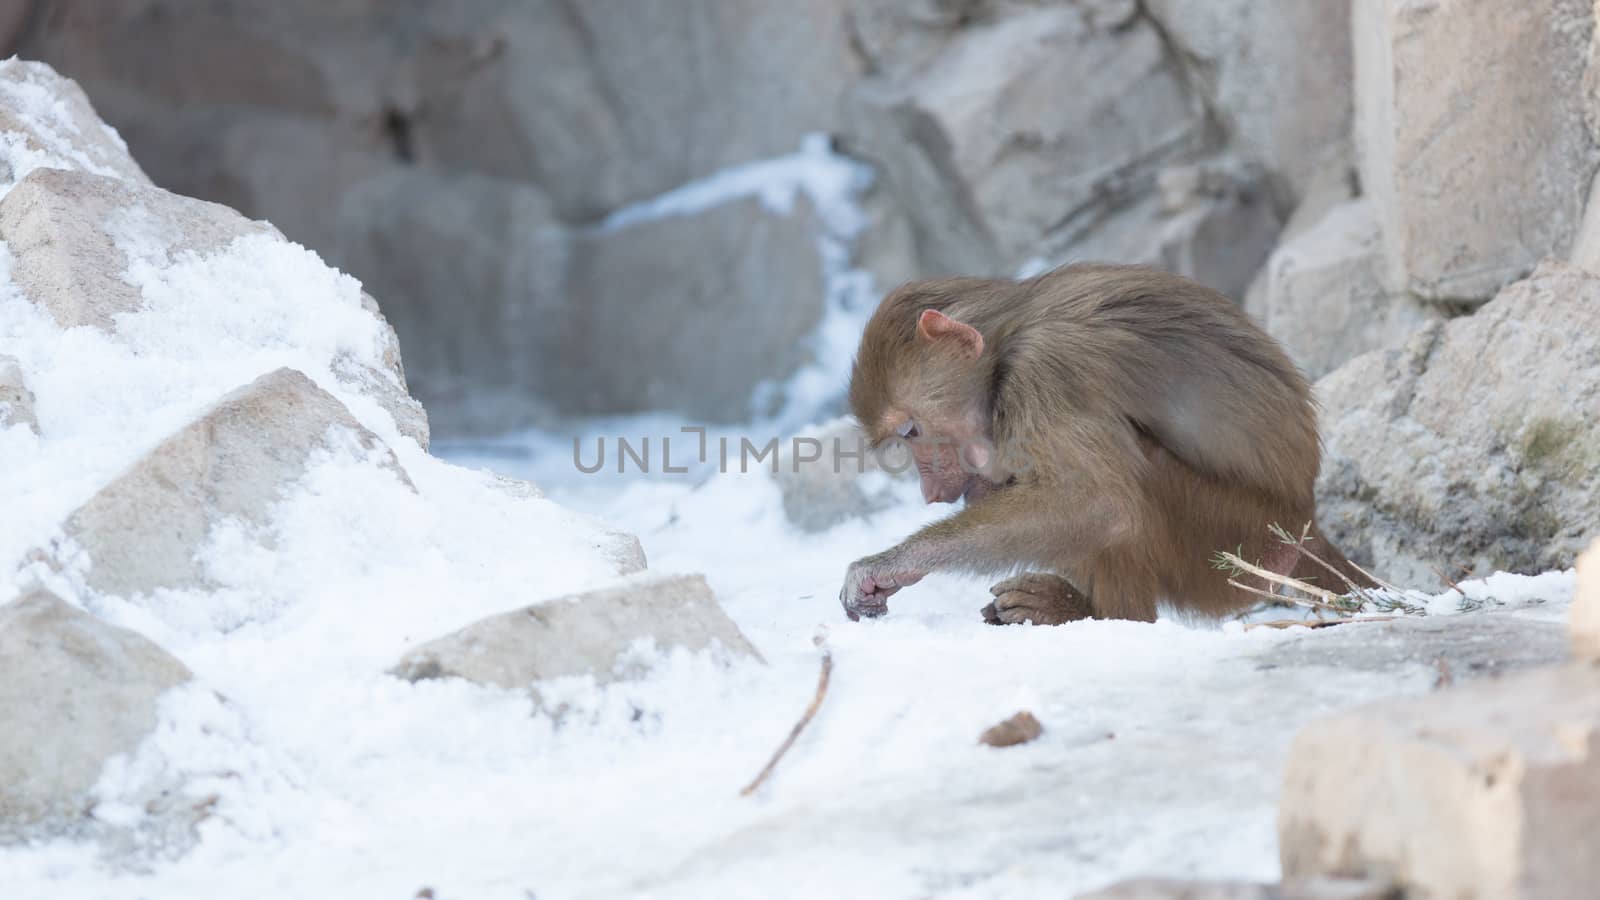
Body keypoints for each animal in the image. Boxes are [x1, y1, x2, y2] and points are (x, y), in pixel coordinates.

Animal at [838, 262, 1376, 621]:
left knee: (1128, 484)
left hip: (1239, 548)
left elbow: (1099, 505)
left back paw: (1096, 614)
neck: (1007, 344)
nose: (929, 491)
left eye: (911, 431)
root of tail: (1306, 525)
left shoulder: (1049, 371)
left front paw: (891, 565)